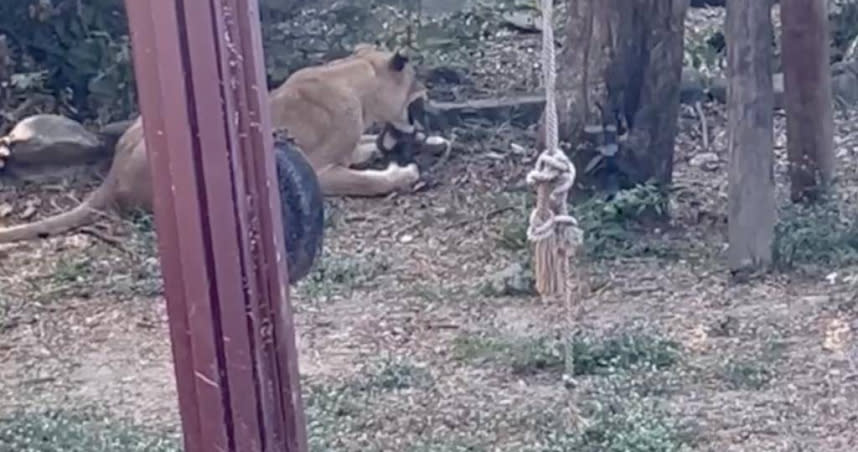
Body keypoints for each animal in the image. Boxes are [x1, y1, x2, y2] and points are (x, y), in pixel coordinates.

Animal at [0, 43, 432, 244]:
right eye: (416, 83)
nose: (426, 94)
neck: (354, 79)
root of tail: (114, 175)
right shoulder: (321, 170)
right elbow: (366, 181)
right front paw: (403, 173)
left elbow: (367, 145)